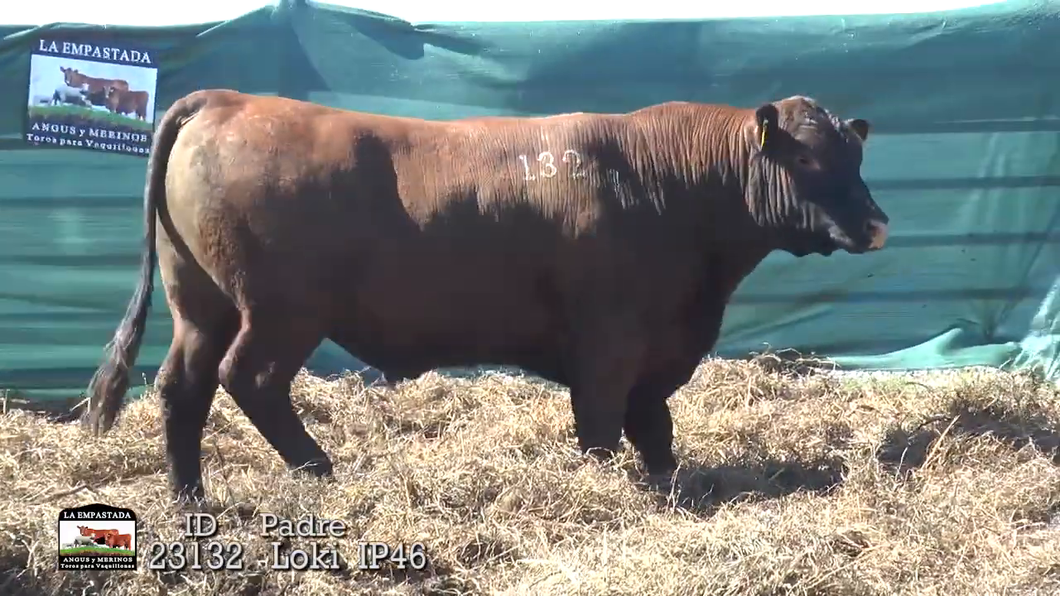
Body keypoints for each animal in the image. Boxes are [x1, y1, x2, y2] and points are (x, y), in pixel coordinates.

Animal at [82, 89, 889, 504]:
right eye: (808, 160)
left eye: (854, 155)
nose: (878, 224)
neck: (671, 184)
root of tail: (231, 100)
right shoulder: (608, 340)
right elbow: (603, 422)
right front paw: (605, 489)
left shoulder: (659, 344)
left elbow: (654, 425)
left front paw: (665, 483)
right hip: (282, 313)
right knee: (248, 379)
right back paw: (319, 470)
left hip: (201, 305)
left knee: (183, 385)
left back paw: (190, 494)